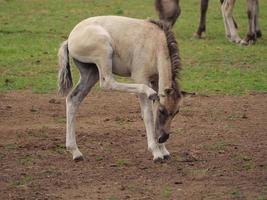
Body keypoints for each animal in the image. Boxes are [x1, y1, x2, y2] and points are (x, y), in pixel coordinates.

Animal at [58, 16, 186, 162]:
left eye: (176, 112)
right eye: (162, 111)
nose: (163, 137)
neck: (155, 44)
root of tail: (70, 39)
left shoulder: (155, 80)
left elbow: (153, 111)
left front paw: (164, 151)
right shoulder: (142, 78)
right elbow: (148, 114)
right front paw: (156, 152)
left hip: (91, 72)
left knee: (73, 99)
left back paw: (75, 152)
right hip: (104, 51)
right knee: (108, 82)